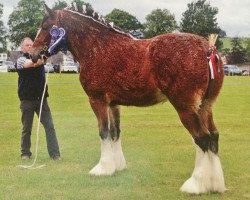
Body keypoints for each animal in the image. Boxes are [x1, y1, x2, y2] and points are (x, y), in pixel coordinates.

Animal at [30, 3, 227, 193]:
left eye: (45, 26)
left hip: (185, 108)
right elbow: (115, 132)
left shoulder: (97, 101)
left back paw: (195, 185)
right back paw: (215, 184)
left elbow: (103, 132)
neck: (97, 47)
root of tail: (208, 48)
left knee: (201, 139)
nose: (32, 54)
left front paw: (102, 168)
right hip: (205, 107)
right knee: (213, 137)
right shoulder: (113, 105)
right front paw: (116, 167)